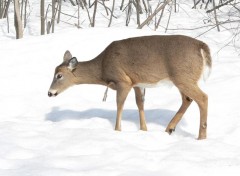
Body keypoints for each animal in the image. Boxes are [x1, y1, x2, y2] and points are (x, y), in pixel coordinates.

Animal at [47, 34, 212, 140]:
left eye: (59, 75)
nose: (49, 93)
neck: (102, 68)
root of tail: (201, 46)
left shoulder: (123, 81)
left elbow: (119, 104)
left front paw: (117, 130)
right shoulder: (136, 83)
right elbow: (140, 103)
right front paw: (143, 129)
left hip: (183, 77)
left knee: (203, 98)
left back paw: (201, 137)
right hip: (183, 79)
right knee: (188, 99)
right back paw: (169, 129)